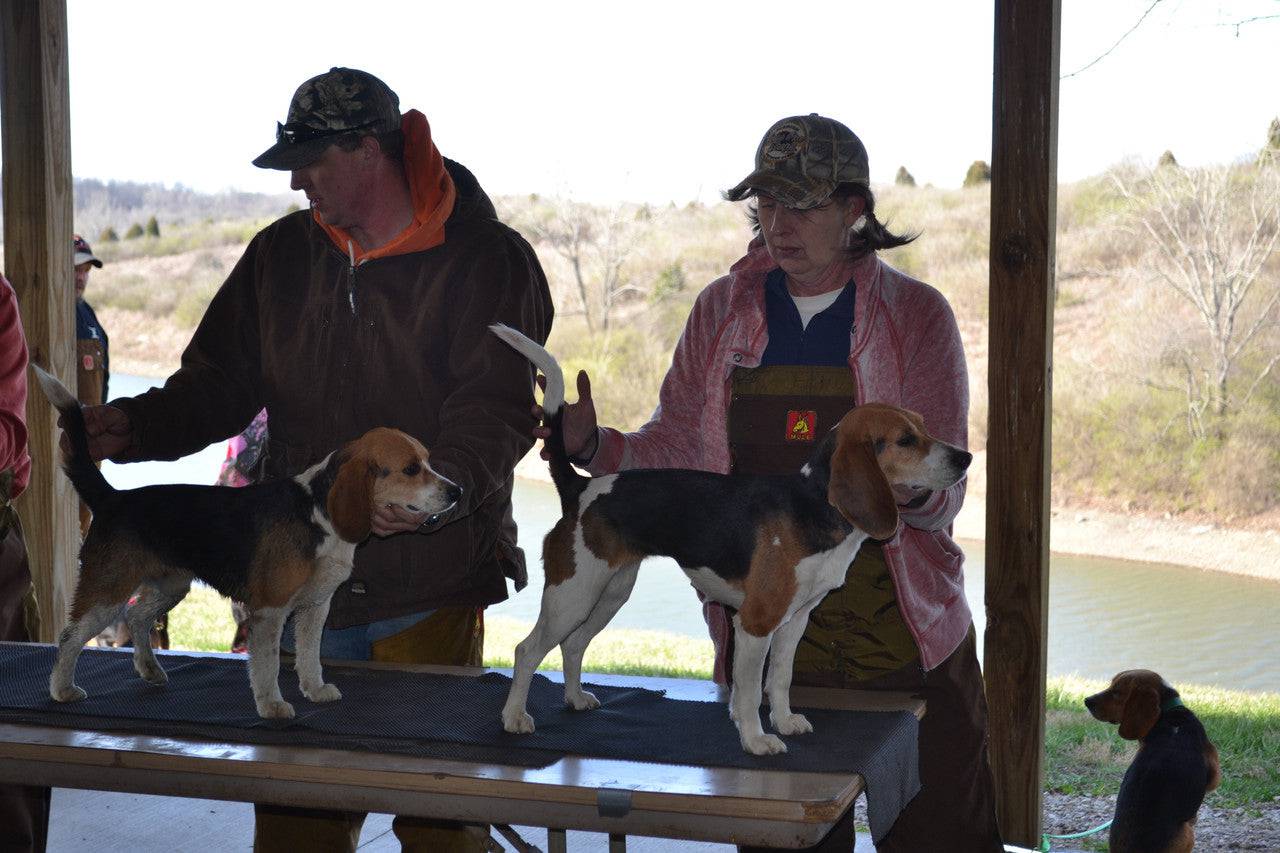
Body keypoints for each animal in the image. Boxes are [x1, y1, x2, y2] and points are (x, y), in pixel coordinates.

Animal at [32, 364, 461, 719]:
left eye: (427, 461)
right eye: (411, 469)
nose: (456, 492)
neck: (318, 512)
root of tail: (113, 497)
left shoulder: (315, 607)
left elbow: (310, 655)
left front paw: (315, 689)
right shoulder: (270, 610)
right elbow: (268, 664)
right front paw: (272, 705)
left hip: (172, 584)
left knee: (138, 616)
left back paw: (150, 670)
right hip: (107, 591)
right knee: (70, 636)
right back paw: (62, 689)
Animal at [489, 324, 972, 755]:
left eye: (924, 426)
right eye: (906, 440)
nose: (965, 457)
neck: (816, 505)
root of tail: (582, 487)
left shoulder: (794, 620)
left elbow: (779, 679)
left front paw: (783, 721)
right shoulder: (755, 623)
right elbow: (749, 690)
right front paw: (757, 740)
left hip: (609, 592)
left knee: (572, 643)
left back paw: (574, 698)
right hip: (572, 594)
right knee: (527, 650)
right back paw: (513, 717)